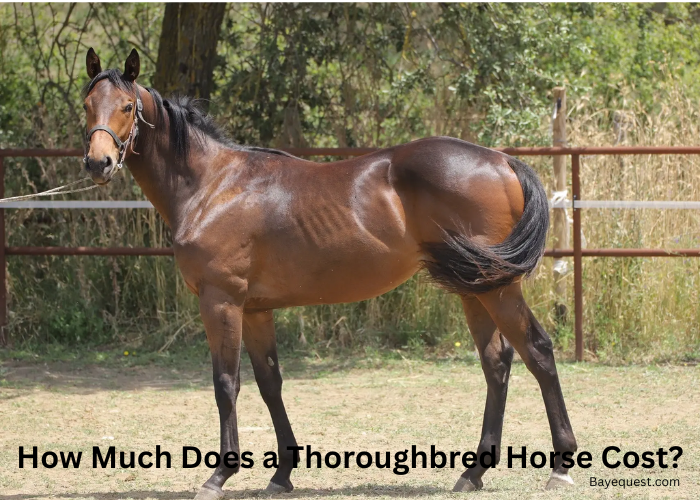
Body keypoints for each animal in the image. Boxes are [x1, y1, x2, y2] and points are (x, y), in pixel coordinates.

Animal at [82, 48, 577, 499]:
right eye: (87, 104)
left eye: (127, 107)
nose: (97, 163)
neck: (214, 187)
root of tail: (501, 160)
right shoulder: (256, 310)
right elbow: (270, 384)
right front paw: (282, 474)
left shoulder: (221, 301)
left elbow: (226, 384)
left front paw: (219, 475)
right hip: (473, 288)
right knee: (497, 364)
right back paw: (473, 473)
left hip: (497, 289)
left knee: (537, 351)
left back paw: (561, 466)